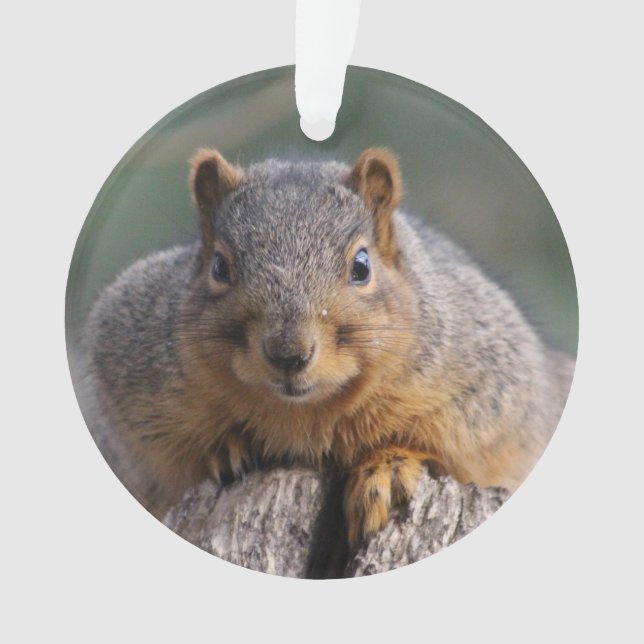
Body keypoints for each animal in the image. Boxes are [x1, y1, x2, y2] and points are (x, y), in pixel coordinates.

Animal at [87, 147, 575, 547]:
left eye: (361, 265)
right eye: (219, 266)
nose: (289, 353)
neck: (305, 415)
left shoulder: (494, 377)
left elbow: (464, 449)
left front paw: (388, 468)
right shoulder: (130, 369)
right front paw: (224, 448)